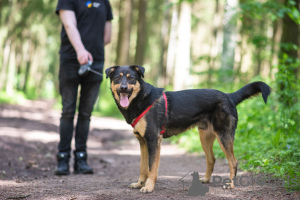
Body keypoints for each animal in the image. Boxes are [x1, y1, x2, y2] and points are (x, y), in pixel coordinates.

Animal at [105, 65, 272, 193]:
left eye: (131, 78)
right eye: (118, 78)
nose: (124, 88)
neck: (141, 99)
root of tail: (229, 96)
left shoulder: (153, 140)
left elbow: (152, 168)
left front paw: (149, 187)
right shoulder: (143, 142)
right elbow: (142, 168)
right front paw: (139, 184)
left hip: (224, 136)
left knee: (233, 162)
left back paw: (230, 185)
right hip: (205, 137)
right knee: (211, 159)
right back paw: (206, 179)